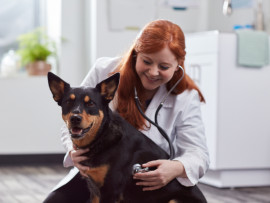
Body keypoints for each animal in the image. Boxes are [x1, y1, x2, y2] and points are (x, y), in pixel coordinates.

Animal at [47, 72, 206, 202]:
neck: (101, 136)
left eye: (90, 103)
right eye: (68, 102)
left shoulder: (110, 191)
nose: (75, 118)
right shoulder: (95, 191)